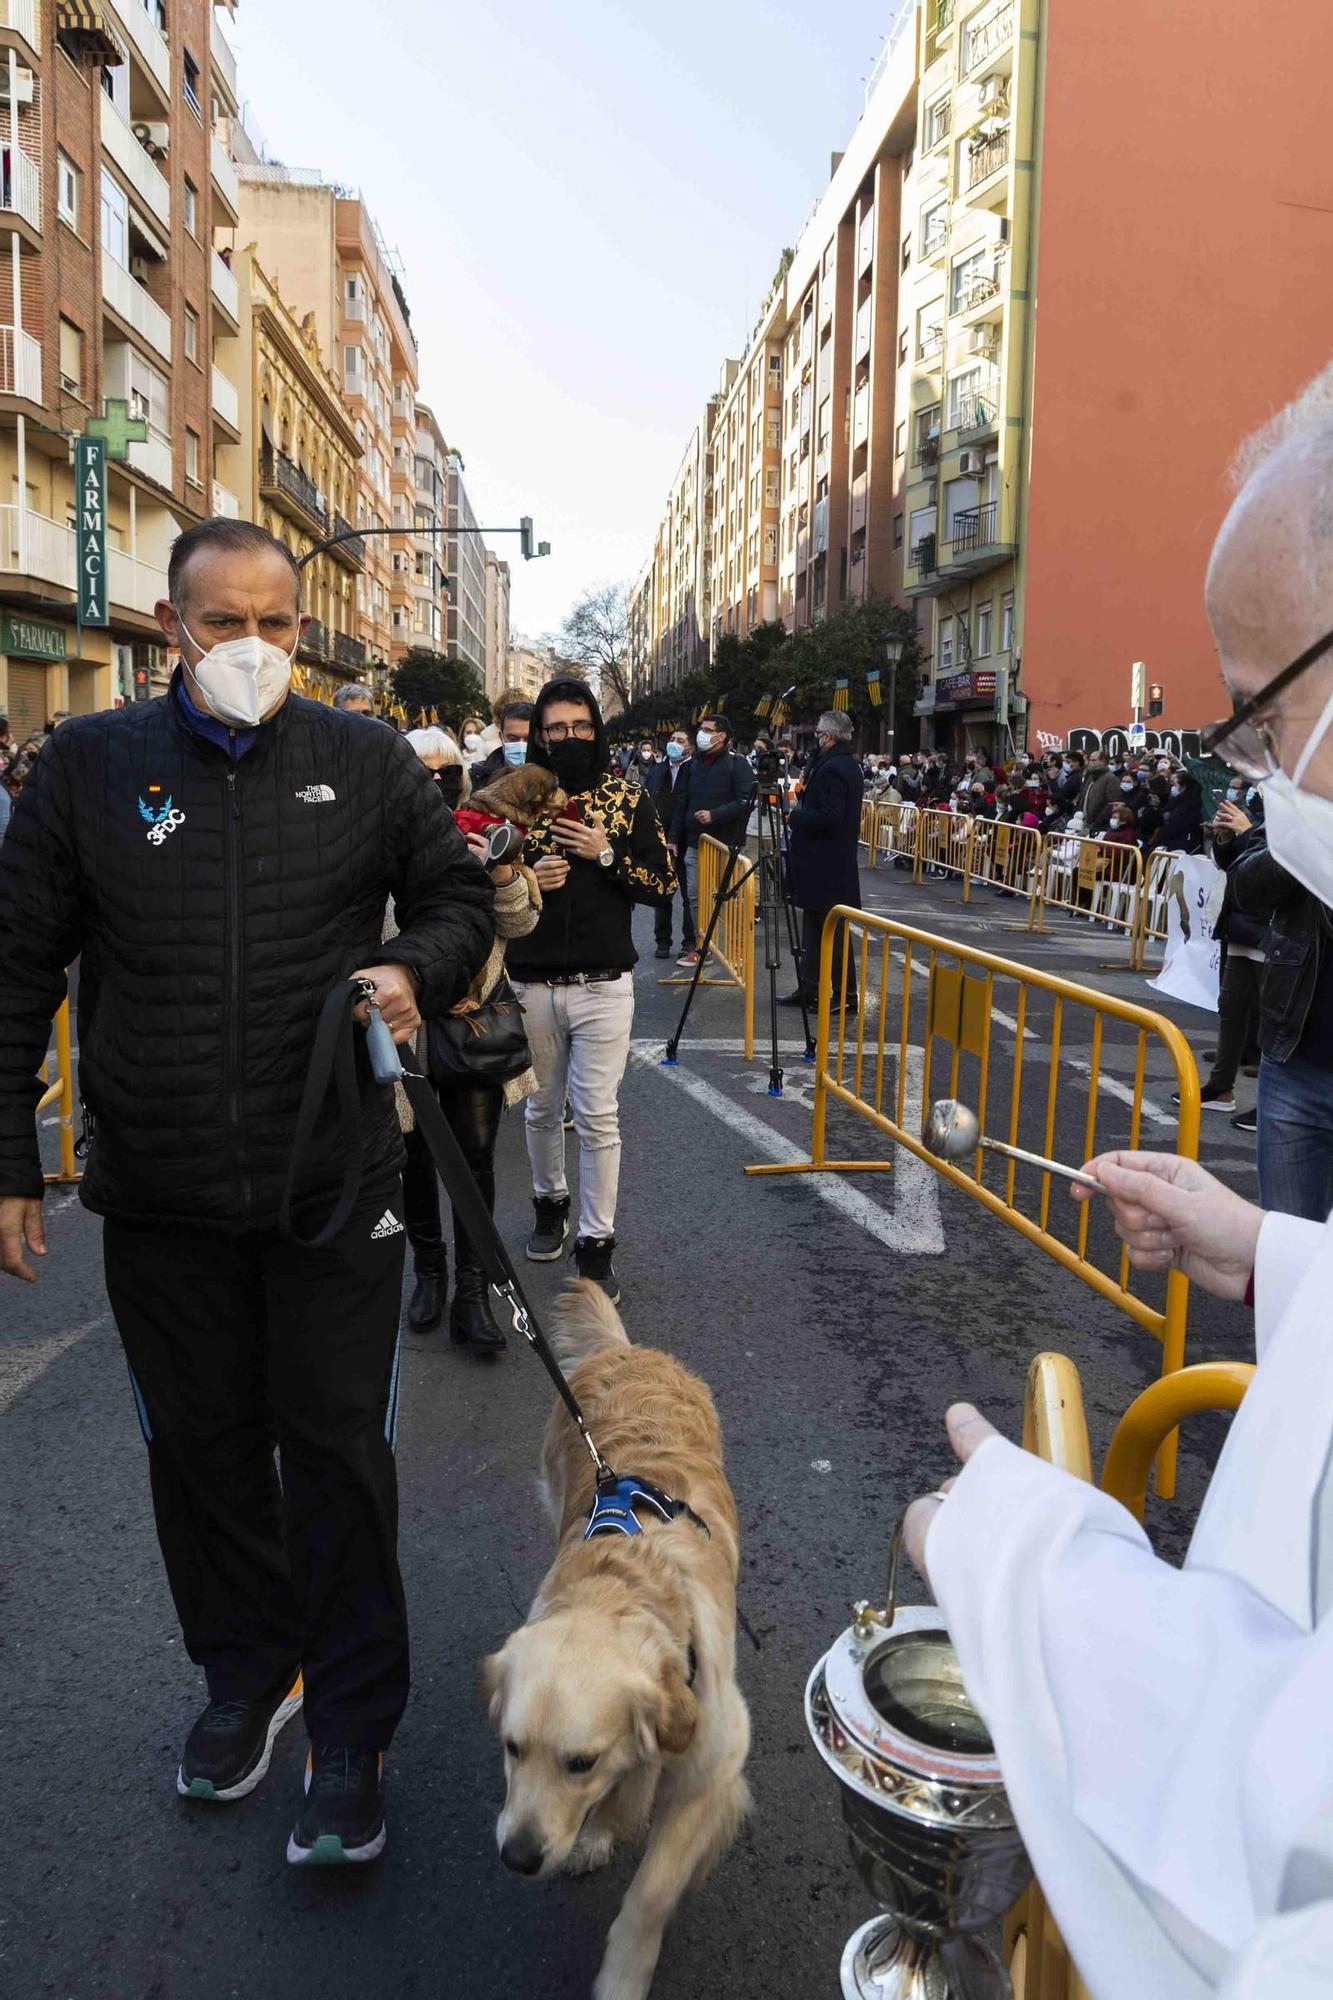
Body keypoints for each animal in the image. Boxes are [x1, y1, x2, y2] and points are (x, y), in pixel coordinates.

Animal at [480, 1280, 752, 2000]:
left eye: (581, 1762)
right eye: (511, 1747)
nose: (517, 1857)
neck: (625, 1587)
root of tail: (627, 1350)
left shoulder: (715, 1765)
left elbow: (652, 1891)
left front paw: (624, 1976)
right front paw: (598, 1835)